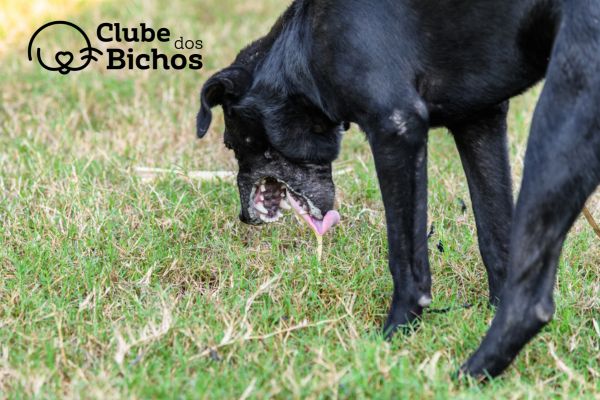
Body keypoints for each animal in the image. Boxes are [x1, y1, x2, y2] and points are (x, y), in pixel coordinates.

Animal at [197, 0, 600, 378]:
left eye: (232, 144)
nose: (244, 217)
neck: (302, 45)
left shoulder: (396, 129)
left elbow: (406, 258)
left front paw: (394, 335)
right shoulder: (479, 121)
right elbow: (495, 237)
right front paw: (487, 310)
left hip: (559, 120)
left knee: (532, 302)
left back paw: (466, 375)